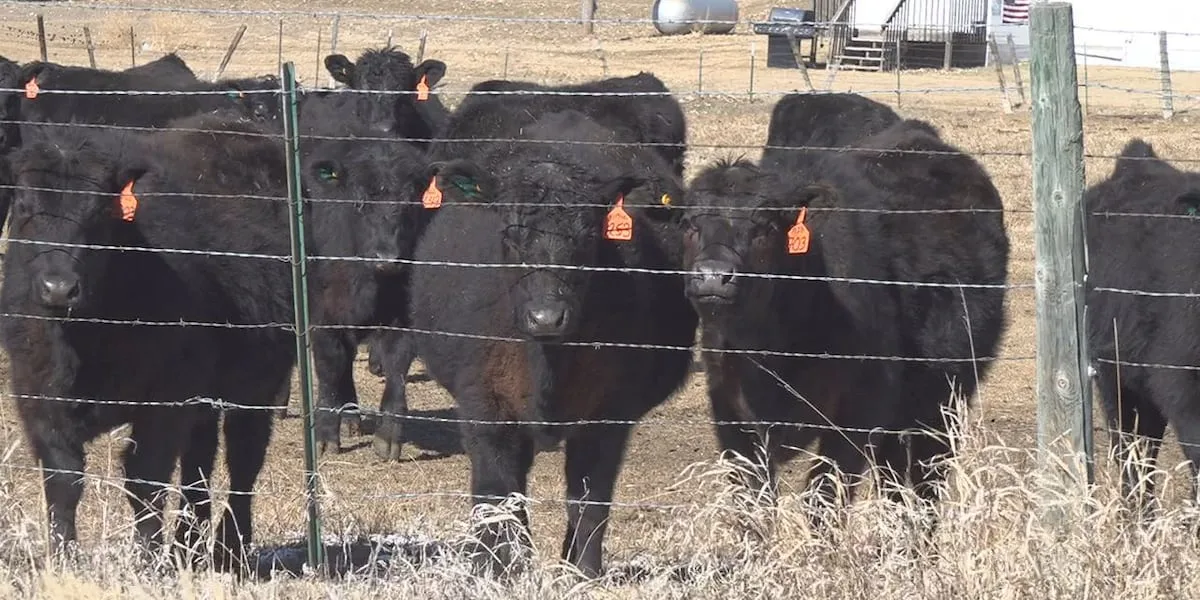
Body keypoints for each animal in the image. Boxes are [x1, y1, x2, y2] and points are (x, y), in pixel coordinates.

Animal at [0, 111, 373, 573]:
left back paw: (230, 547)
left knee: (243, 457)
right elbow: (64, 480)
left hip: (258, 381)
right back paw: (188, 544)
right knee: (200, 462)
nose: (58, 287)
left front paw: (147, 561)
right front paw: (64, 560)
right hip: (205, 396)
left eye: (99, 213)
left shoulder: (165, 401)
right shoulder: (38, 399)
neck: (85, 340)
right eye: (24, 207)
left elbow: (146, 478)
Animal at [409, 108, 696, 578]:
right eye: (509, 236)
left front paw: (584, 572)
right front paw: (495, 570)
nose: (546, 317)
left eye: (588, 237)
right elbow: (495, 495)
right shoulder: (483, 406)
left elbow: (589, 499)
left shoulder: (610, 416)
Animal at [680, 118, 1009, 519]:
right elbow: (754, 506)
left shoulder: (857, 414)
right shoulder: (730, 414)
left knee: (927, 482)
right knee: (893, 483)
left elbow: (824, 501)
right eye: (689, 224)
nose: (713, 275)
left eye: (765, 228)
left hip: (945, 399)